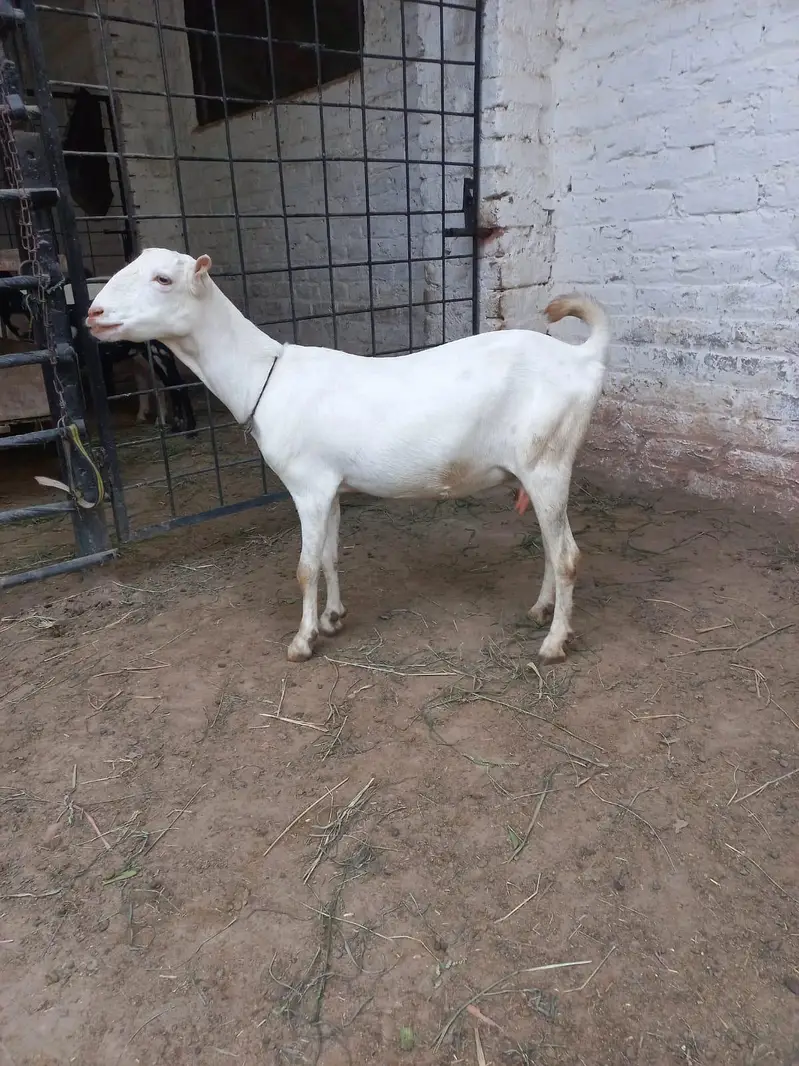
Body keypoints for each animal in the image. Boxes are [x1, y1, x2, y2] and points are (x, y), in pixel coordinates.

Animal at [87, 248, 611, 664]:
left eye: (163, 279)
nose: (93, 312)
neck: (265, 375)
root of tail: (583, 358)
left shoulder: (307, 486)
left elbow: (304, 568)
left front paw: (302, 642)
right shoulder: (330, 485)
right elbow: (329, 557)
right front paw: (332, 617)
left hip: (547, 462)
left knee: (567, 555)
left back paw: (553, 643)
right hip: (540, 468)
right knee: (552, 547)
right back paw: (541, 610)